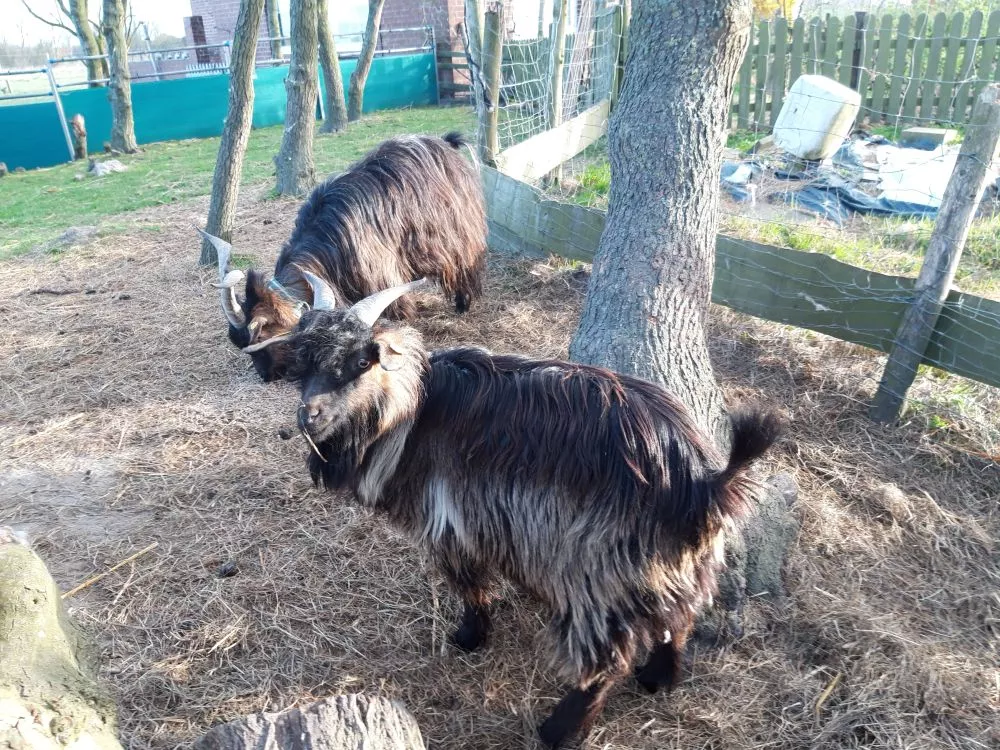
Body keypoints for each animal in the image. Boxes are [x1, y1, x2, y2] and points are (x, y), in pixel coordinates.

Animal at [202, 132, 487, 382]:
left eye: (261, 336)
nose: (267, 376)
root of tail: (445, 143)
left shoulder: (380, 270)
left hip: (456, 230)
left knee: (462, 262)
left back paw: (463, 303)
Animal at [258, 276, 781, 749]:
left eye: (358, 363)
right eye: (304, 361)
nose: (309, 416)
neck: (415, 413)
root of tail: (701, 482)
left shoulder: (451, 524)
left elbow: (470, 585)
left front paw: (470, 636)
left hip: (598, 571)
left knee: (606, 659)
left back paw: (558, 731)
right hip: (677, 566)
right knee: (680, 618)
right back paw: (659, 678)